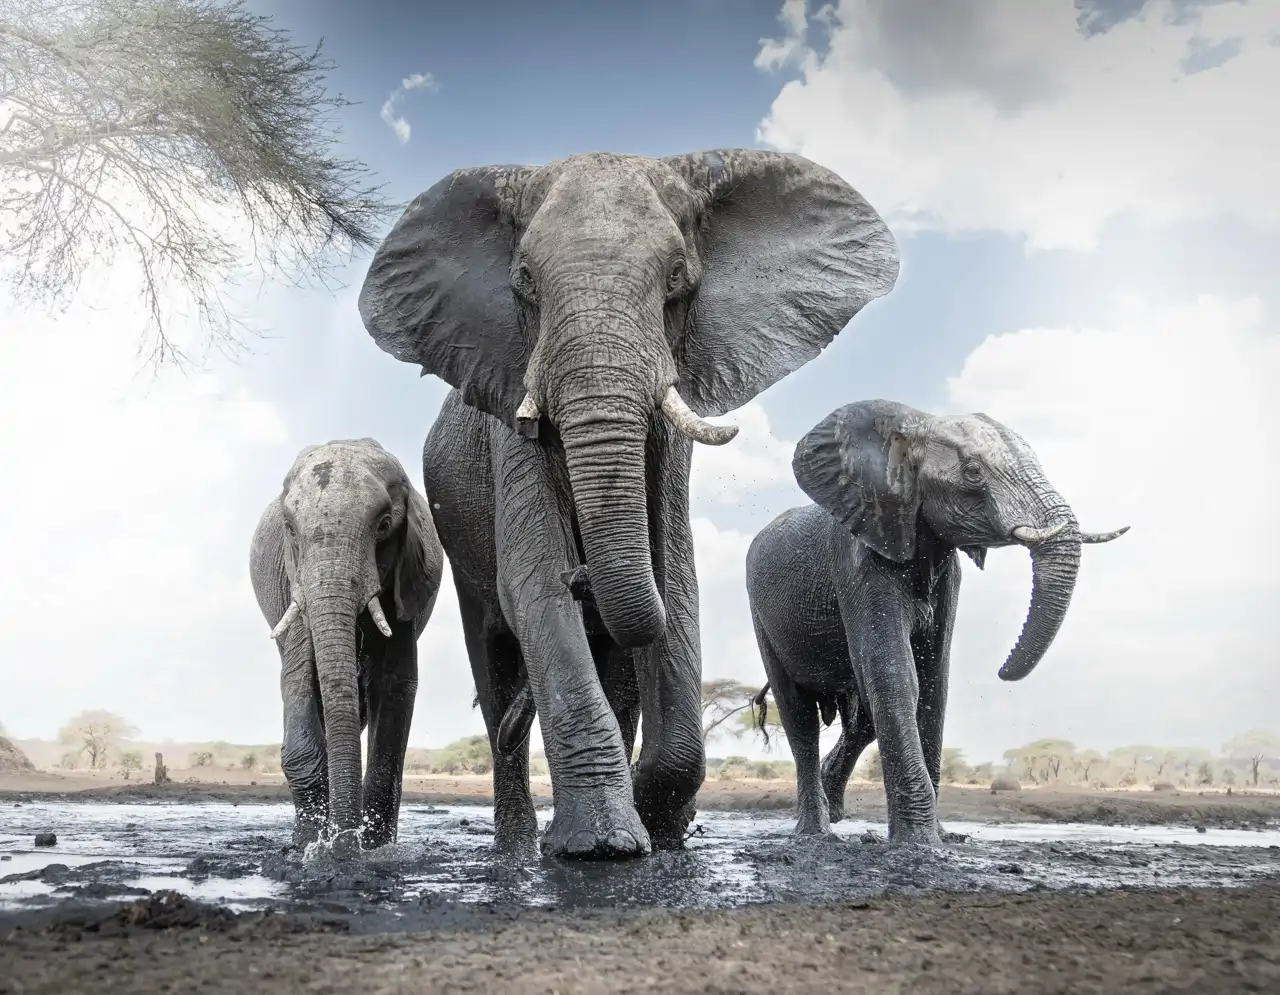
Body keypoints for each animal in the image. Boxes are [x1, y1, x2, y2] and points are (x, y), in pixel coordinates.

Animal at [249, 438, 443, 855]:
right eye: (290, 529)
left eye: (384, 526)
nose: (343, 841)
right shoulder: (296, 582)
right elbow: (298, 677)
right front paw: (309, 847)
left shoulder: (405, 581)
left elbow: (396, 684)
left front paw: (369, 848)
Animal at [358, 149, 899, 859]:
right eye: (524, 282)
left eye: (676, 278)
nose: (585, 573)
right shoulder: (510, 419)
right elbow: (534, 585)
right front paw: (599, 846)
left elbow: (675, 587)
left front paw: (659, 824)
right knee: (494, 653)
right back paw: (519, 845)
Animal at [745, 400, 1127, 845]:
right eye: (974, 472)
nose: (1002, 670)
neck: (913, 426)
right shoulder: (858, 563)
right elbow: (896, 675)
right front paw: (920, 844)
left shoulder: (947, 573)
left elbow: (933, 683)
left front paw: (943, 837)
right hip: (760, 614)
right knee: (798, 713)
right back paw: (815, 833)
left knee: (860, 719)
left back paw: (833, 813)